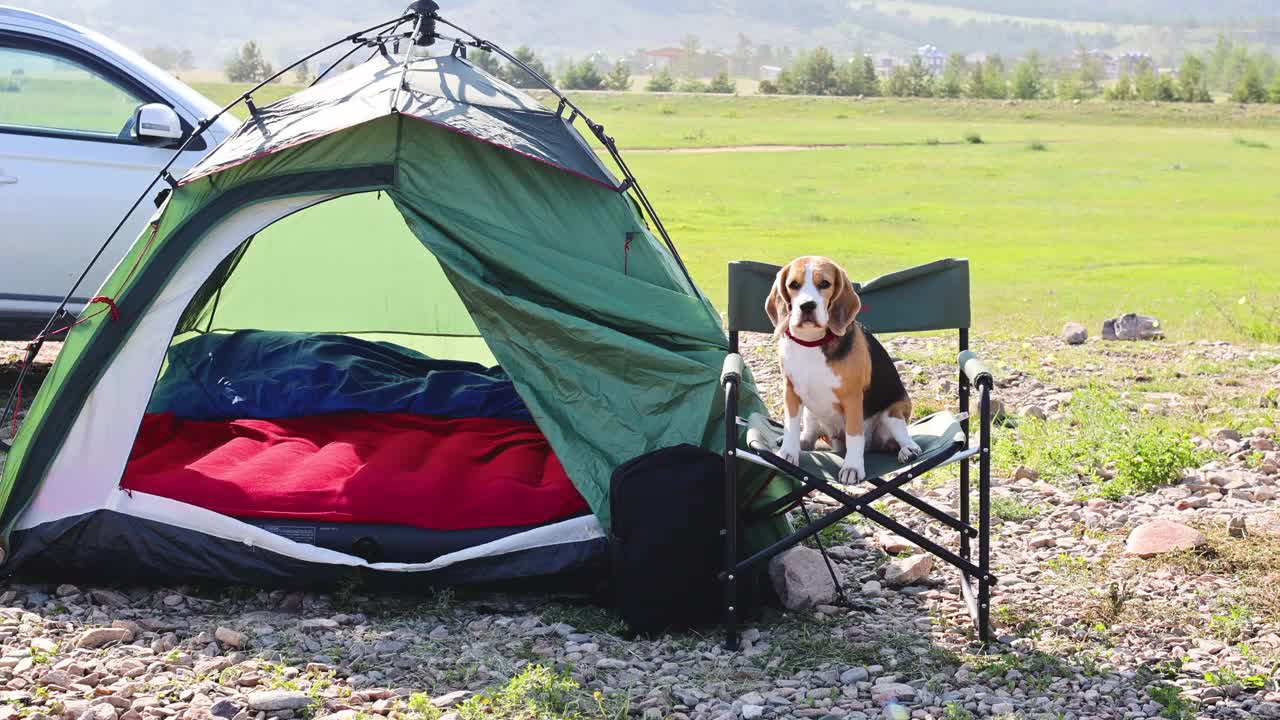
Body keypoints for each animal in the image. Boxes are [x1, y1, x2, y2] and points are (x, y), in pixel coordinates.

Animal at [757, 254, 921, 479]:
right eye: (793, 285)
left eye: (825, 284)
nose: (806, 306)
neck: (811, 342)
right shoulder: (790, 391)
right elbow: (791, 426)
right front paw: (788, 453)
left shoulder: (852, 398)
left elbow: (854, 435)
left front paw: (852, 467)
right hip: (810, 413)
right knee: (809, 437)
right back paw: (802, 441)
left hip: (893, 413)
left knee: (901, 437)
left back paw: (908, 450)